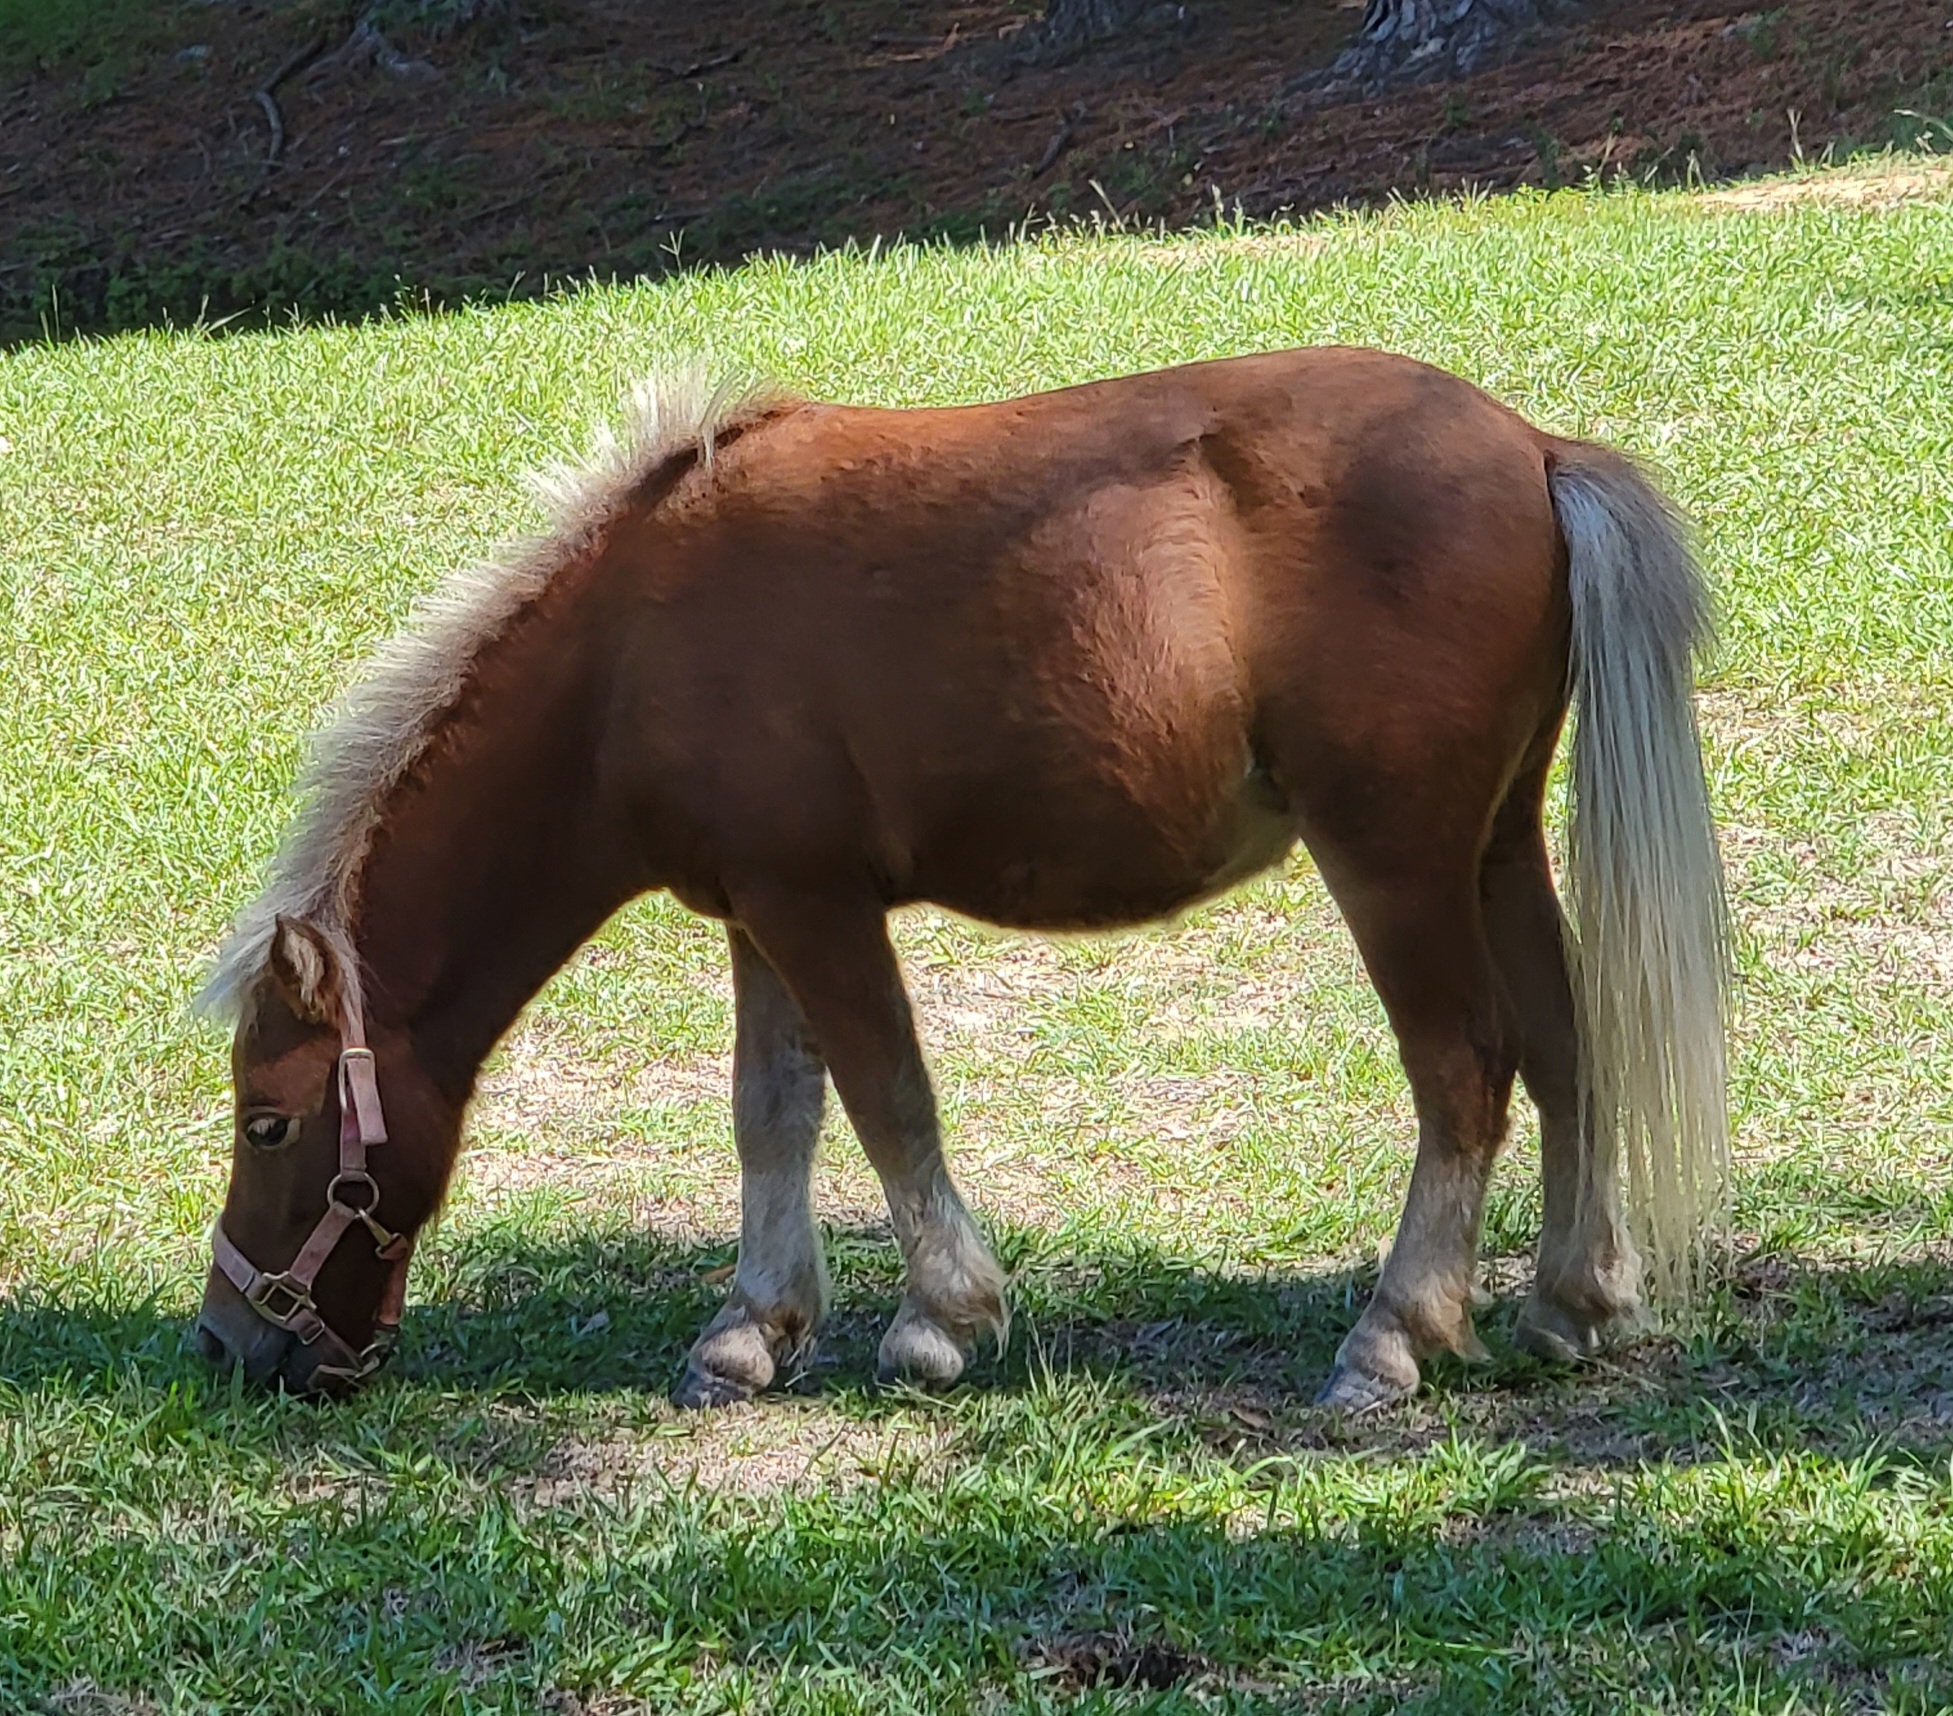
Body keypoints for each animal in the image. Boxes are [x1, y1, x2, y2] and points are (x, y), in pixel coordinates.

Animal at [193, 347, 1729, 1409]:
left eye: (269, 1125)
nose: (227, 1341)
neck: (629, 642)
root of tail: (1532, 449)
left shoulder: (817, 910)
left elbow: (886, 1098)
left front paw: (939, 1318)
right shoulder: (759, 913)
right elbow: (774, 1114)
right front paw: (752, 1330)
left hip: (1396, 861)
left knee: (1464, 1067)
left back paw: (1393, 1337)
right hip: (1495, 846)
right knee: (1565, 1048)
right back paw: (1573, 1298)